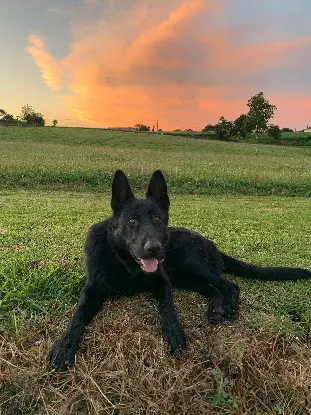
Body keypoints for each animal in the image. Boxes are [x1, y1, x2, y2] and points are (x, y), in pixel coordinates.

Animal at [50, 171, 311, 372]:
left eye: (157, 219)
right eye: (132, 221)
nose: (154, 248)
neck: (124, 262)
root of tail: (212, 245)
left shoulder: (162, 282)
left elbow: (168, 307)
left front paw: (174, 332)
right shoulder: (92, 291)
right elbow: (77, 317)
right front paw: (64, 347)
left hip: (191, 263)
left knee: (228, 284)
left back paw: (229, 306)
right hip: (185, 277)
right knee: (211, 289)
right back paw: (216, 309)